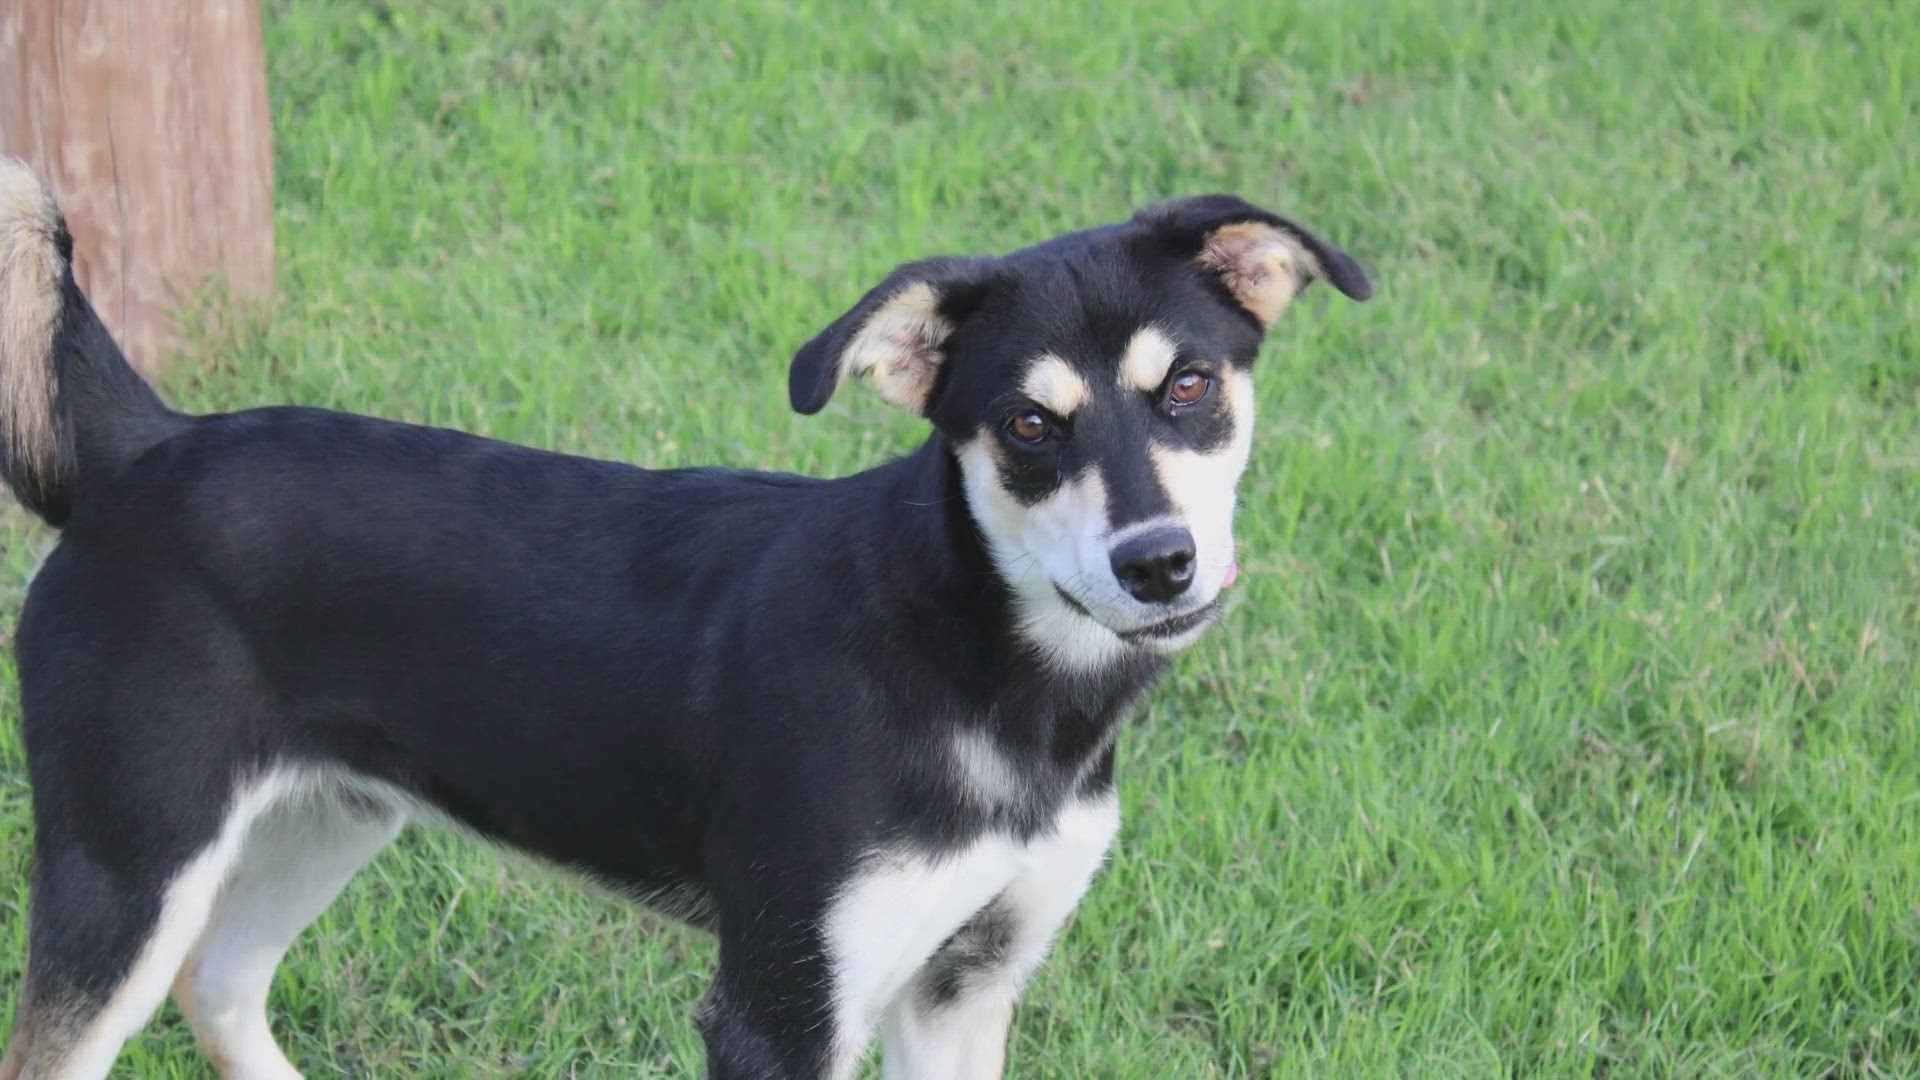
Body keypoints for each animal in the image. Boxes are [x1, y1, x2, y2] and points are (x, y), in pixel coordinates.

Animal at [0, 157, 1367, 1076]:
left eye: (1190, 386)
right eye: (1029, 425)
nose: (1160, 563)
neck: (976, 662)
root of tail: (143, 452)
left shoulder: (963, 988)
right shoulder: (783, 1006)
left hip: (328, 816)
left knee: (222, 983)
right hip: (129, 865)